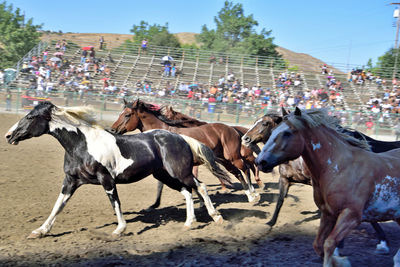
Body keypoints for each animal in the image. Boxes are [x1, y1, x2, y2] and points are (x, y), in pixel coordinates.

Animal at [4, 102, 227, 239]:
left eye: (31, 117)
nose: (8, 135)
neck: (82, 145)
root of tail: (181, 137)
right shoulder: (70, 181)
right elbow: (57, 205)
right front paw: (40, 231)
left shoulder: (106, 179)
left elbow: (115, 203)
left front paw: (119, 229)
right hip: (166, 175)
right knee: (187, 192)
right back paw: (189, 223)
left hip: (180, 173)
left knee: (200, 187)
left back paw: (216, 217)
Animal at [111, 99, 260, 204]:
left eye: (127, 115)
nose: (112, 129)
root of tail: (233, 129)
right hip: (224, 160)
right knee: (238, 173)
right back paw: (249, 194)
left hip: (233, 157)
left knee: (246, 169)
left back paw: (253, 194)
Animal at [256, 108, 400, 266]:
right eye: (273, 130)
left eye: (287, 133)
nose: (260, 161)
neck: (339, 167)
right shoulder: (328, 213)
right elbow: (318, 244)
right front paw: (341, 260)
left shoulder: (351, 215)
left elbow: (329, 243)